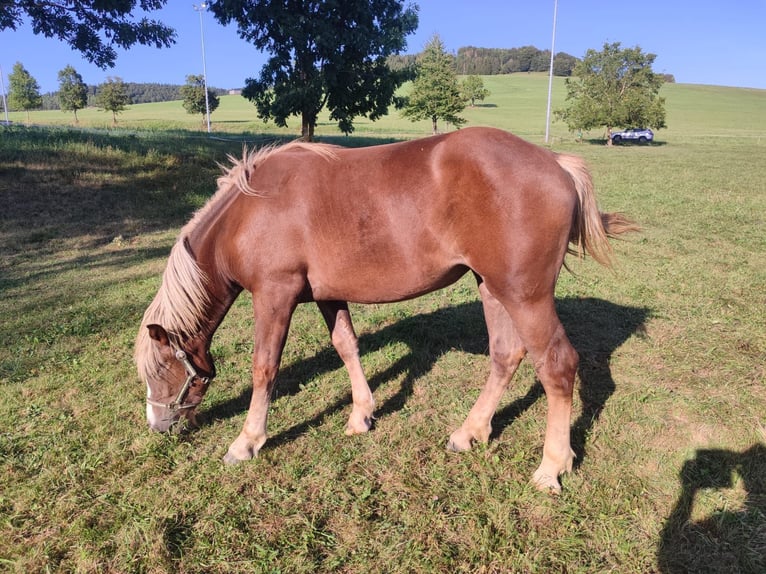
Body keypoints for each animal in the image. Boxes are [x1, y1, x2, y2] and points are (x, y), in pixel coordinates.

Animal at [134, 128, 636, 492]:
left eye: (160, 371)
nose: (157, 426)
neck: (250, 212)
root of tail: (557, 165)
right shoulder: (327, 294)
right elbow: (346, 345)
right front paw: (361, 415)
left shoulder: (274, 295)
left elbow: (265, 368)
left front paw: (247, 441)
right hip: (493, 289)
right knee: (506, 355)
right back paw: (469, 432)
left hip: (525, 296)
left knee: (557, 365)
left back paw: (552, 466)